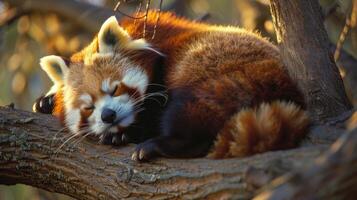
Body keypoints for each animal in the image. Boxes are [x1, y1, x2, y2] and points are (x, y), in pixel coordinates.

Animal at [34, 11, 310, 161]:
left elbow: (155, 111)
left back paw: (162, 145)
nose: (108, 115)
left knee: (192, 114)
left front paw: (124, 134)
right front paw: (46, 101)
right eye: (88, 108)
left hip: (223, 75)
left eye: (114, 89)